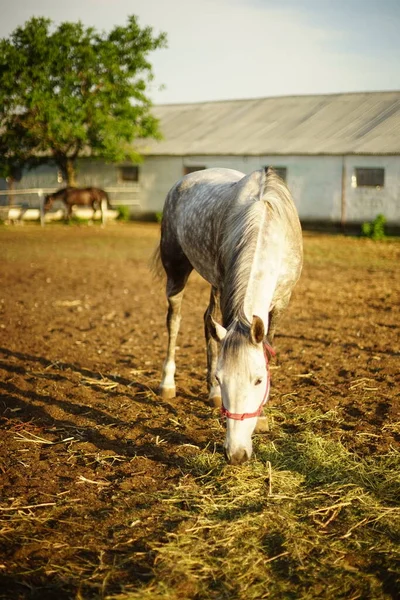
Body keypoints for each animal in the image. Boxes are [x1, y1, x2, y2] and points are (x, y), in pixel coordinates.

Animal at [157, 166, 304, 466]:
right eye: (222, 377)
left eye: (259, 380)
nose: (236, 454)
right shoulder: (228, 294)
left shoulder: (280, 303)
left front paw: (261, 416)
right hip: (176, 269)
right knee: (174, 321)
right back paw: (168, 384)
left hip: (213, 282)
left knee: (206, 321)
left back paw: (211, 395)